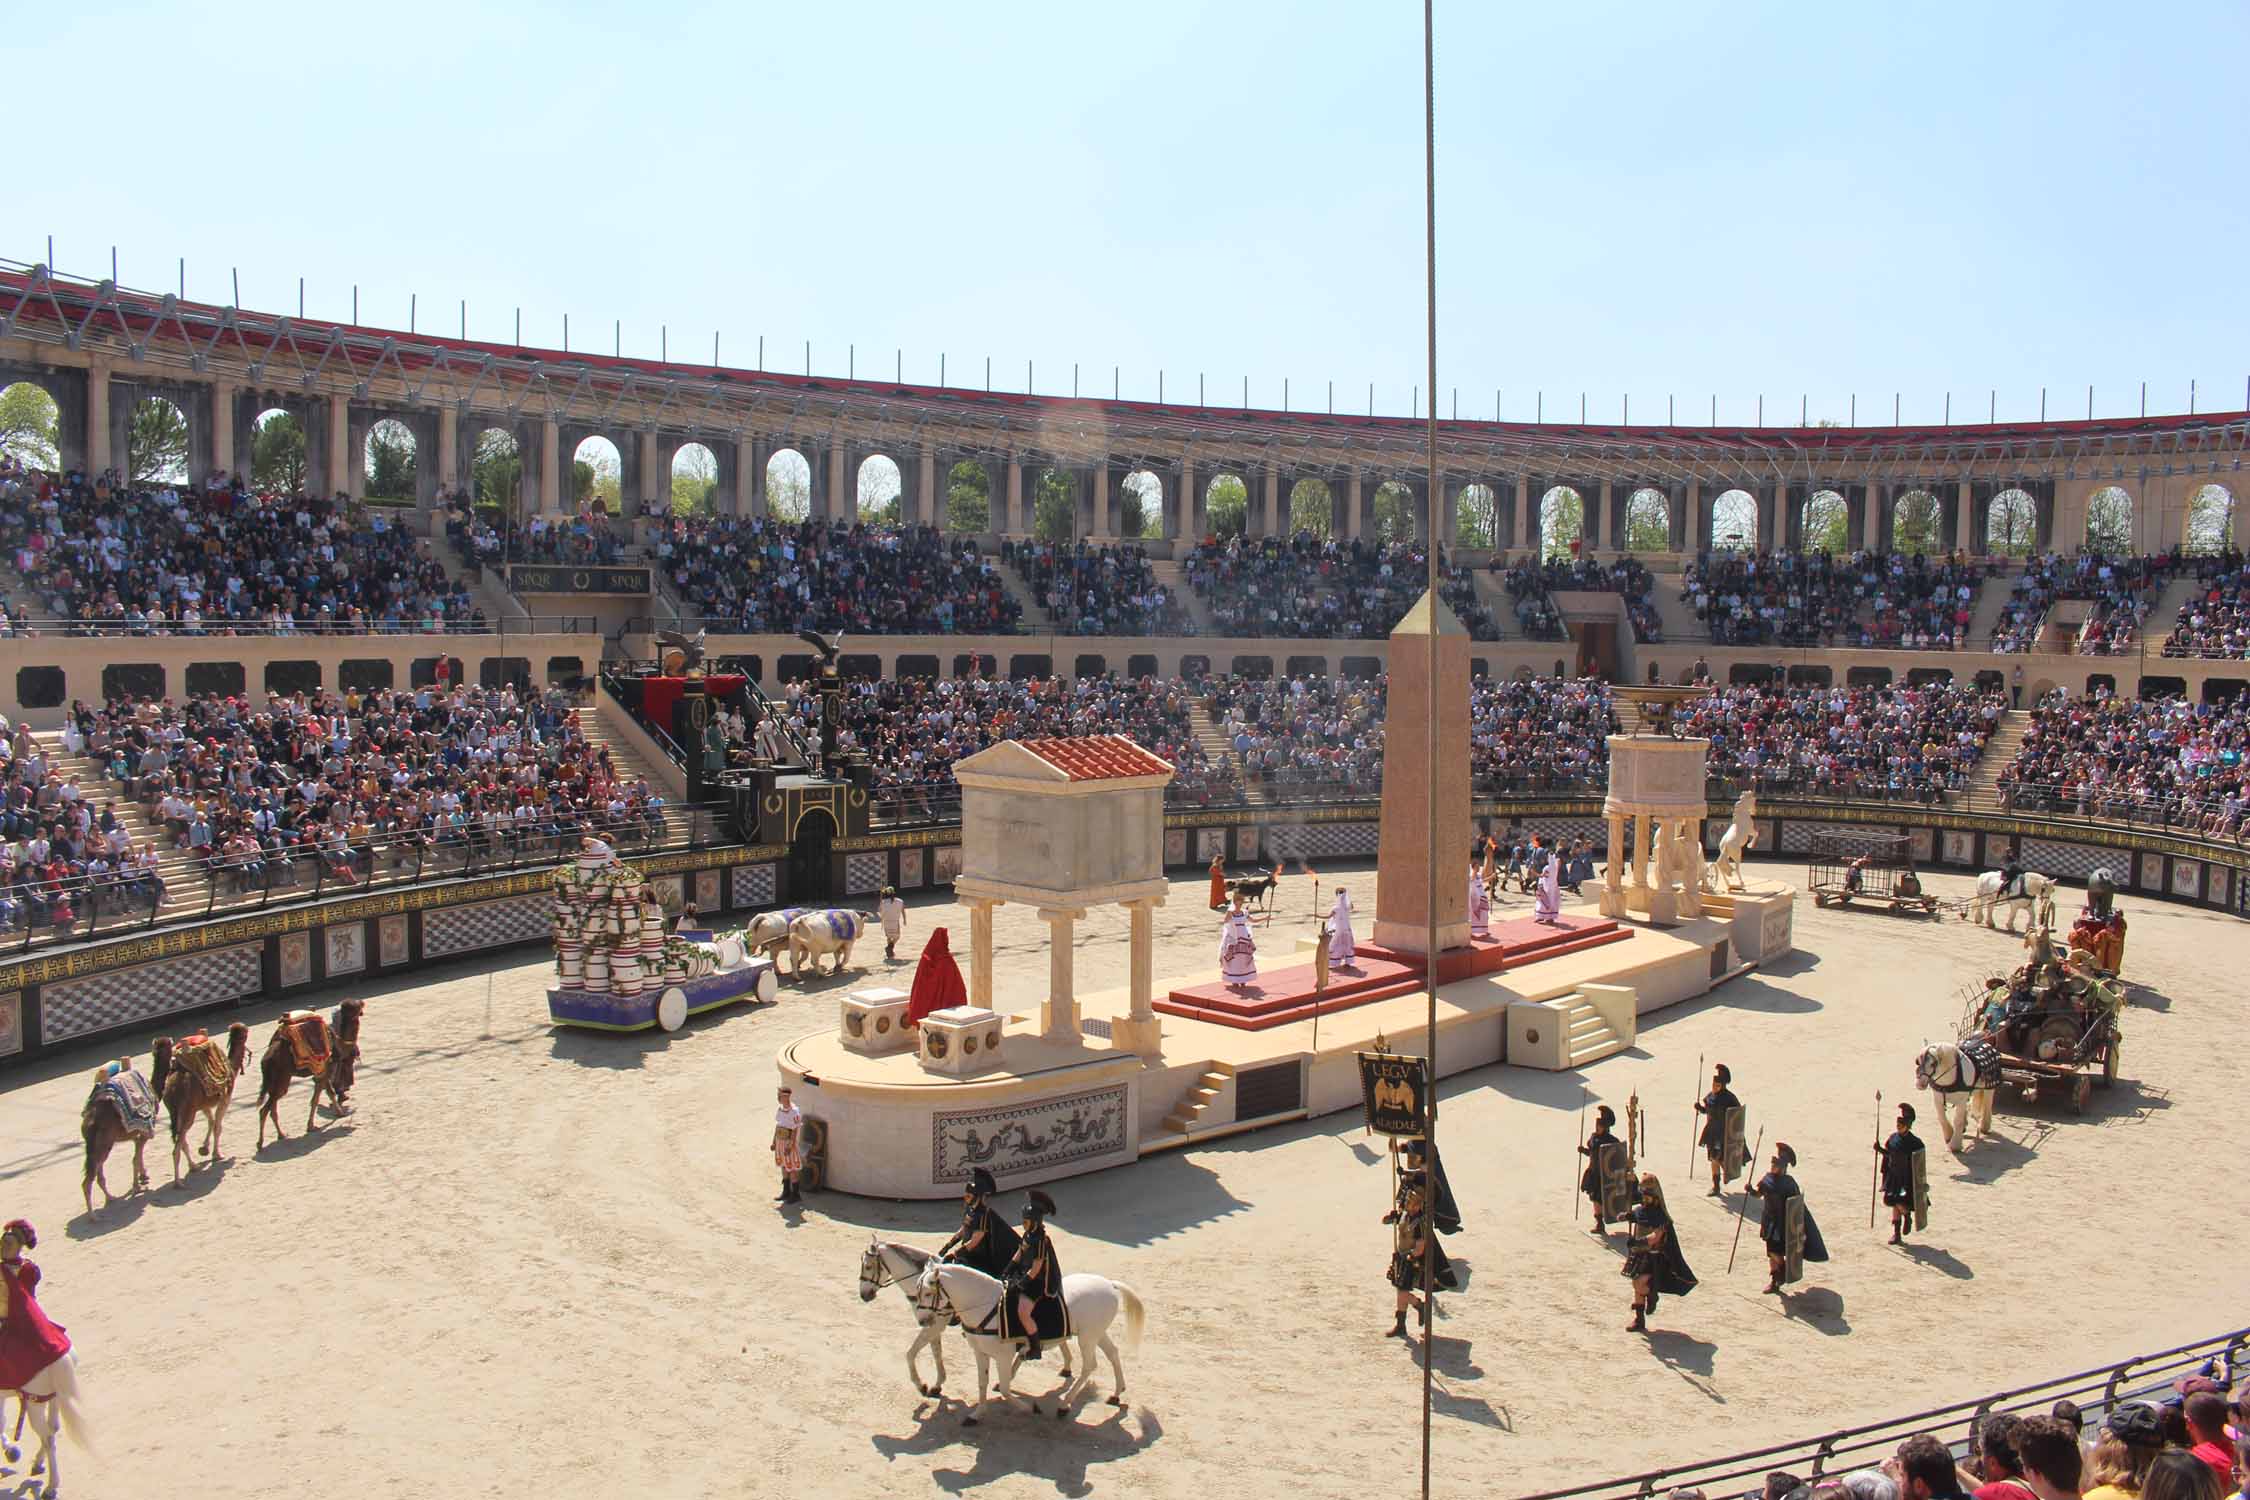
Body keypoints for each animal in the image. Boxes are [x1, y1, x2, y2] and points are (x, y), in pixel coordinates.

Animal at [2, 1358, 91, 1493]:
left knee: (48, 1439)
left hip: (35, 1404)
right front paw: (11, 1451)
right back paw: (37, 1464)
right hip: (54, 1397)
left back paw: (51, 1487)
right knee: (52, 1429)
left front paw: (10, 1450)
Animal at [79, 1052, 164, 1214]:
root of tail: (91, 1120)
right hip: (104, 1142)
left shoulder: (136, 1134)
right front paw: (137, 1186)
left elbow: (137, 1156)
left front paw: (143, 1177)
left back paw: (111, 1198)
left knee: (97, 1173)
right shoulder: (145, 1130)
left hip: (97, 1144)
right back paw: (94, 1216)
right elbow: (135, 1158)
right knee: (89, 1179)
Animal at [159, 1020, 252, 1187]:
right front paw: (217, 1154)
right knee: (178, 1144)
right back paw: (178, 1182)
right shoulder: (225, 1099)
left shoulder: (203, 1105)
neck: (231, 1066)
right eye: (245, 1031)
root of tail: (173, 1088)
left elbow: (211, 1121)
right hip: (188, 1111)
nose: (247, 1028)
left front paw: (204, 1148)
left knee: (181, 1139)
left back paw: (193, 1166)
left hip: (177, 1111)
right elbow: (217, 1126)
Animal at [257, 998, 366, 1151]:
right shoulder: (324, 1070)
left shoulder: (321, 1072)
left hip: (275, 1082)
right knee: (264, 1110)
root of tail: (265, 1060)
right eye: (357, 1008)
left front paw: (329, 1116)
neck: (339, 1043)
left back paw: (281, 1135)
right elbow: (321, 1096)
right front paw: (320, 1121)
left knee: (272, 1107)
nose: (362, 1002)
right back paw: (260, 1143)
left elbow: (323, 1095)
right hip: (281, 1079)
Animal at [913, 1259, 1143, 1430]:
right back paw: (1116, 1394)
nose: (922, 1321)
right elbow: (982, 1383)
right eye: (918, 1290)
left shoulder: (1003, 1356)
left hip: (1087, 1337)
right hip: (1097, 1333)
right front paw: (976, 1414)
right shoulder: (980, 1352)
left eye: (928, 1292)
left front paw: (1029, 1408)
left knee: (1089, 1366)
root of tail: (1109, 1284)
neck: (986, 1304)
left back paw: (1064, 1405)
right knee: (1113, 1353)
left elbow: (1006, 1389)